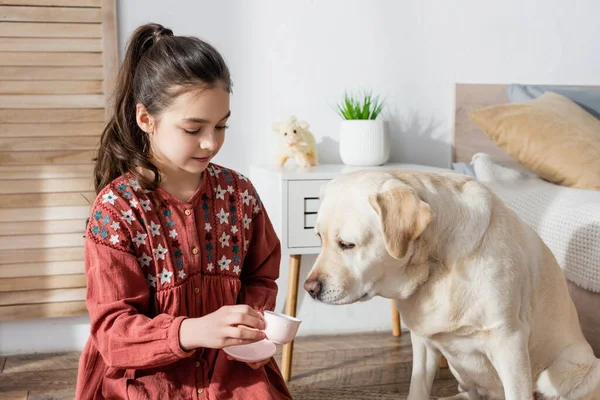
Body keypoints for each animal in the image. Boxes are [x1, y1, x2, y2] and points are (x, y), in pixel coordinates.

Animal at [304, 170, 600, 400]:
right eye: (319, 237)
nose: (310, 289)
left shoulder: (509, 340)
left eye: (347, 244)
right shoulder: (423, 341)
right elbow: (418, 389)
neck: (435, 265)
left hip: (570, 368)